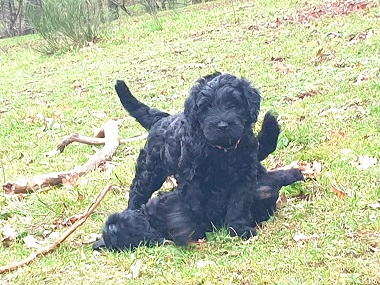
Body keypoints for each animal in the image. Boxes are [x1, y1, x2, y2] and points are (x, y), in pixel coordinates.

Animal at [115, 72, 276, 236]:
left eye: (233, 104)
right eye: (206, 107)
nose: (222, 125)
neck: (221, 149)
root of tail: (162, 118)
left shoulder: (245, 175)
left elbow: (239, 203)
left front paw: (239, 228)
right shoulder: (191, 178)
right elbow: (195, 205)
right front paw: (200, 229)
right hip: (150, 169)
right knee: (138, 191)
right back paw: (131, 212)